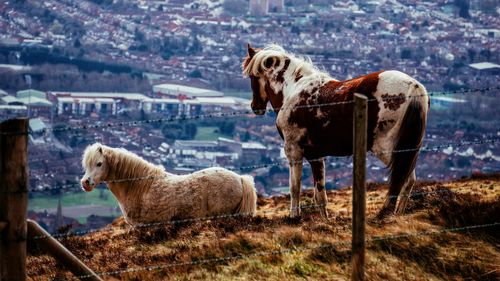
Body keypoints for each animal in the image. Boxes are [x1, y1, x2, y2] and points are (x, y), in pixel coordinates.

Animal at [242, 44, 430, 219]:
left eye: (252, 76)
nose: (255, 107)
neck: (292, 89)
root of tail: (414, 86)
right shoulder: (316, 155)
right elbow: (320, 194)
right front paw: (324, 220)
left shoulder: (293, 150)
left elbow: (295, 187)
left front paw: (294, 217)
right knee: (409, 178)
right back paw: (398, 214)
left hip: (386, 149)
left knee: (401, 177)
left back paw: (386, 213)